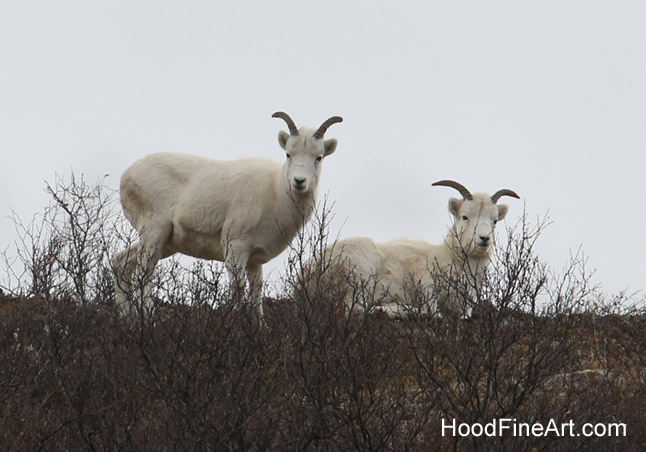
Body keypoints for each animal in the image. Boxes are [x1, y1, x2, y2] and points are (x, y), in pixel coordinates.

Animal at [112, 111, 343, 316]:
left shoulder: (255, 260)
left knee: (121, 263)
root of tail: (126, 175)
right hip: (155, 233)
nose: (299, 181)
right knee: (143, 275)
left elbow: (256, 295)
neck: (276, 193)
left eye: (319, 157)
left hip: (165, 242)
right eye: (288, 154)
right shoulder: (236, 249)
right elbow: (237, 289)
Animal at [311, 180, 519, 318]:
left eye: (494, 221)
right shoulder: (425, 283)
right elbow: (435, 313)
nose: (484, 239)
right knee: (358, 308)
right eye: (465, 217)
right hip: (362, 273)